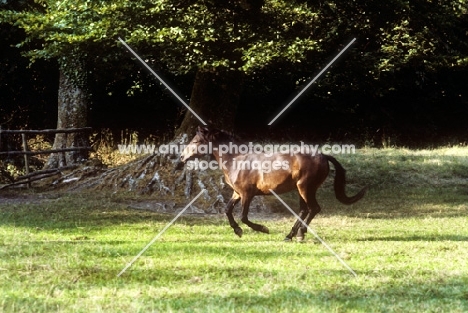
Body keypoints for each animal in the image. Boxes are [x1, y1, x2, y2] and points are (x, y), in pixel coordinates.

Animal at [179, 125, 366, 240]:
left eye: (196, 141)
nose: (182, 157)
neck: (236, 159)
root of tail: (322, 156)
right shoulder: (237, 193)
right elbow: (227, 210)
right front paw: (238, 231)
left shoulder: (247, 194)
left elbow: (244, 217)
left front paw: (262, 229)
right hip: (301, 189)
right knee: (304, 210)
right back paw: (290, 235)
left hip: (305, 187)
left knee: (313, 209)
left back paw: (299, 234)